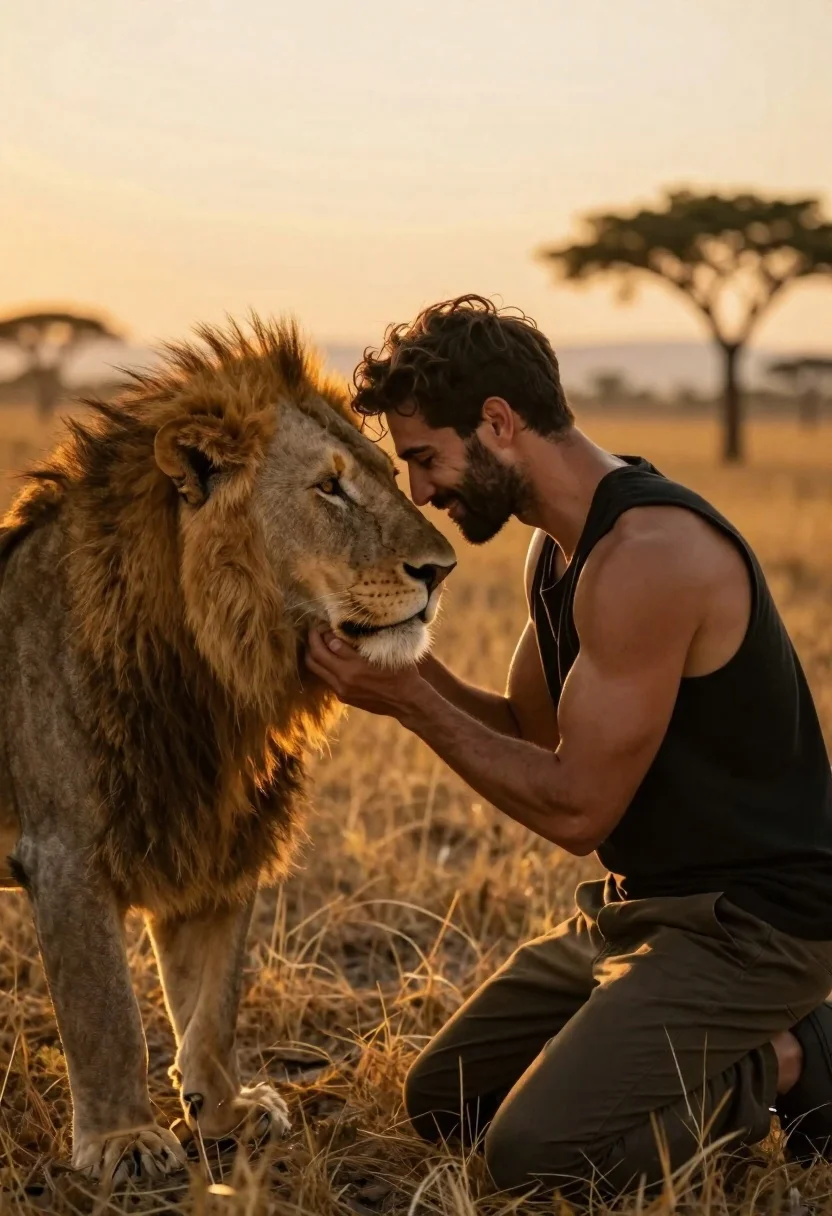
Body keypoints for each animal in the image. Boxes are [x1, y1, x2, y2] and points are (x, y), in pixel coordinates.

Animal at [0, 317, 455, 1185]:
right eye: (330, 489)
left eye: (392, 473)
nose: (440, 570)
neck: (214, 677)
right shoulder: (66, 851)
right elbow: (106, 1011)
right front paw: (123, 1140)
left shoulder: (210, 837)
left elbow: (212, 1001)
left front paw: (224, 1111)